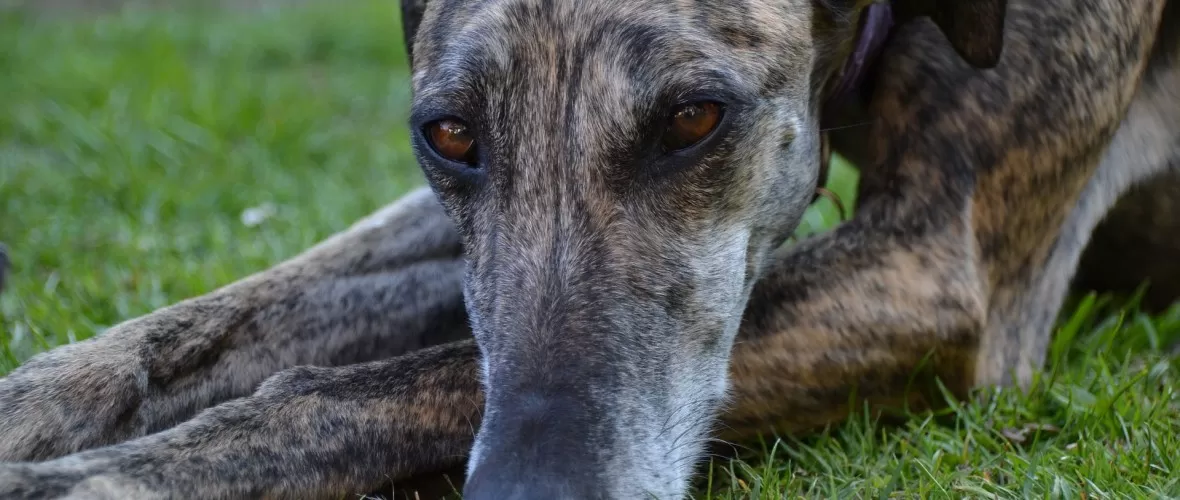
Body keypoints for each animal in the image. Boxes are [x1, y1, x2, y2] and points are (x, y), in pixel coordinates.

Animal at [0, 0, 1177, 498]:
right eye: (449, 133)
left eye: (696, 118)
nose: (538, 491)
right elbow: (237, 317)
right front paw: (36, 406)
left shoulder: (938, 270)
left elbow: (366, 385)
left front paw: (97, 480)